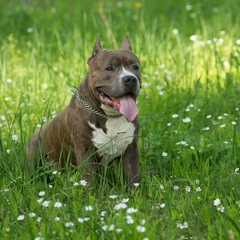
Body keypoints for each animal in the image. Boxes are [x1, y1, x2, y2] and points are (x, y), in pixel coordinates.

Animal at [25, 36, 142, 187]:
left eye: (135, 67)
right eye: (109, 68)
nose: (130, 79)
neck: (111, 117)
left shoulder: (131, 150)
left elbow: (134, 180)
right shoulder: (85, 153)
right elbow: (90, 182)